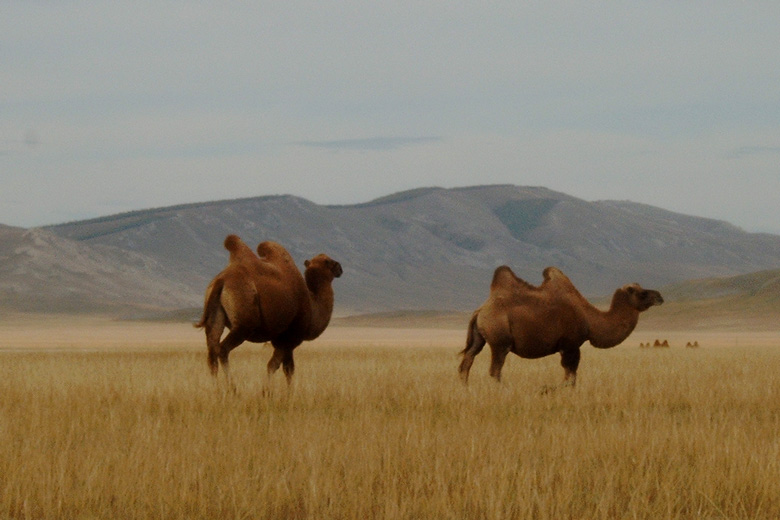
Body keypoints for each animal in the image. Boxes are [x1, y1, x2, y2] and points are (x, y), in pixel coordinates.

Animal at [195, 236, 342, 386]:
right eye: (329, 262)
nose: (340, 268)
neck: (312, 305)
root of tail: (221, 280)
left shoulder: (280, 340)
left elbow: (286, 369)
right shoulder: (289, 338)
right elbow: (277, 366)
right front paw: (268, 390)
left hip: (215, 315)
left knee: (212, 351)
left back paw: (216, 388)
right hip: (244, 323)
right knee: (223, 349)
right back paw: (232, 388)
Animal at [458, 266, 664, 388]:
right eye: (642, 293)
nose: (660, 297)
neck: (590, 319)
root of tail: (481, 311)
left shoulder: (568, 347)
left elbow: (569, 374)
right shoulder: (571, 345)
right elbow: (570, 375)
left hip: (480, 337)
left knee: (468, 360)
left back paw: (465, 389)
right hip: (500, 341)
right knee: (495, 370)